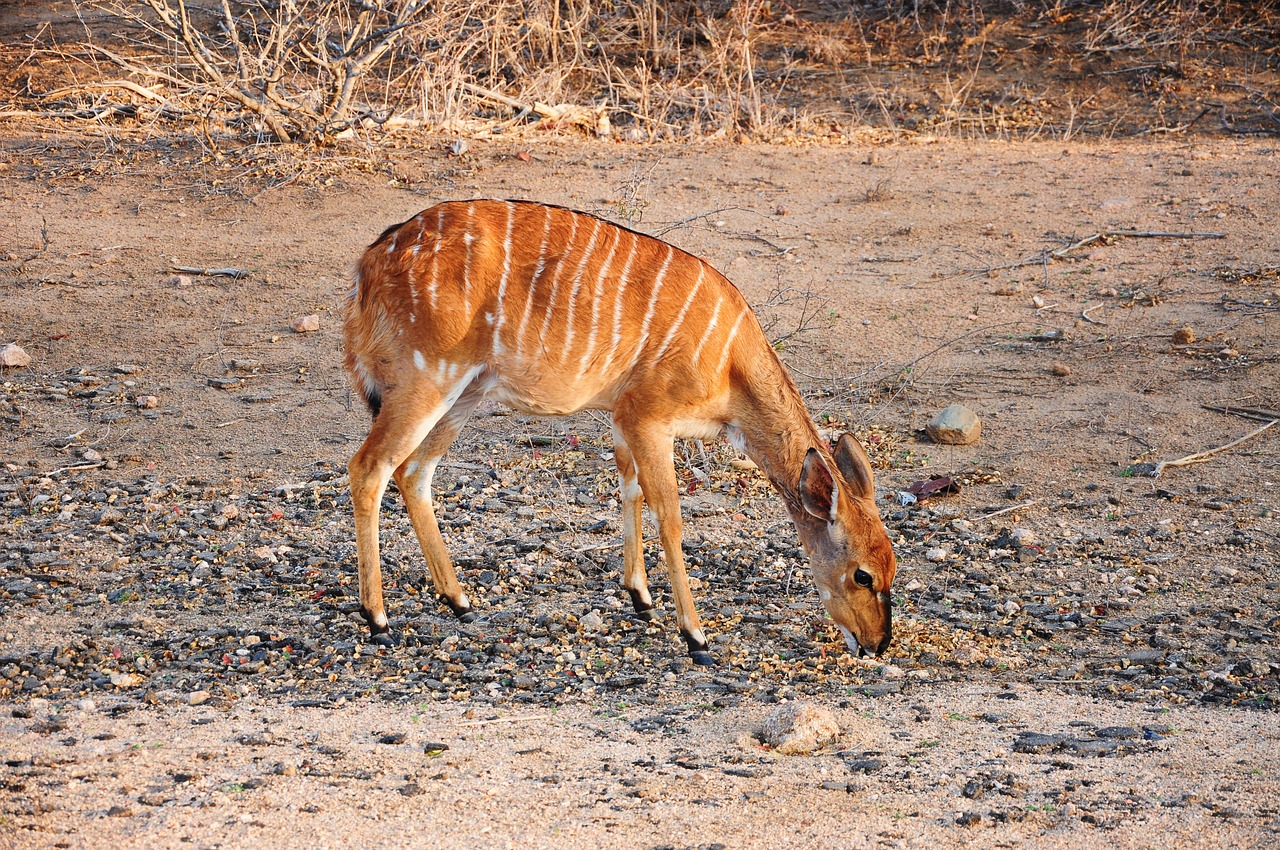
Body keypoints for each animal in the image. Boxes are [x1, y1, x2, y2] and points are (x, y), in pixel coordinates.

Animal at [343, 200, 901, 665]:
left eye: (894, 566)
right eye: (862, 574)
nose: (877, 643)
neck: (730, 368)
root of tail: (367, 266)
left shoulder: (621, 415)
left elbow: (629, 488)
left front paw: (641, 598)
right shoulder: (649, 416)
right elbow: (670, 518)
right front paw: (696, 637)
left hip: (466, 392)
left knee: (414, 472)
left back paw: (459, 601)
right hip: (425, 379)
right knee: (369, 466)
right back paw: (378, 620)